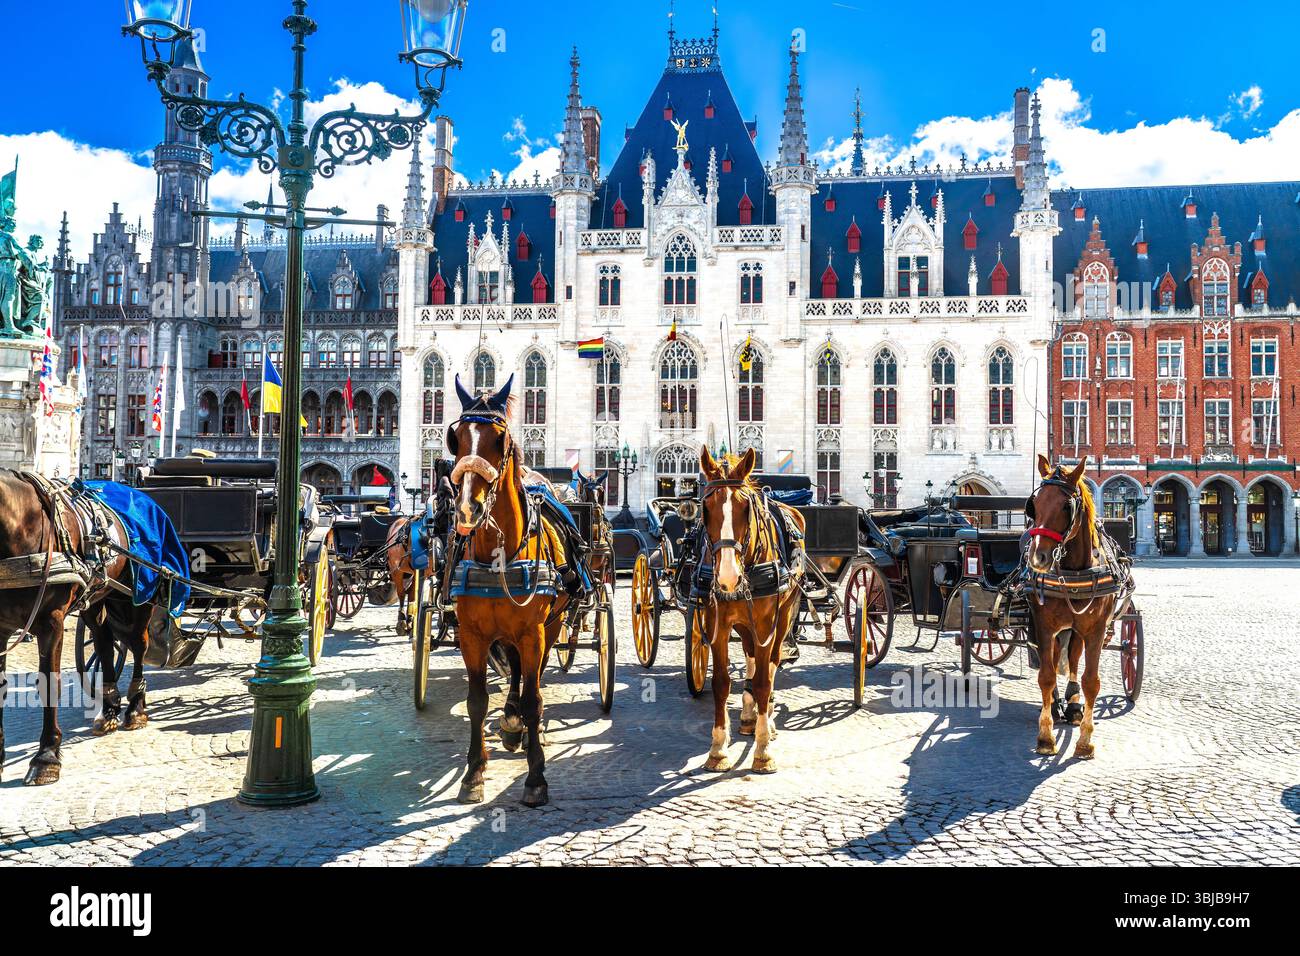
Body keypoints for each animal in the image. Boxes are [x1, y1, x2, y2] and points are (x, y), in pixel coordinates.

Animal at [0, 472, 152, 785]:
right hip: (98, 596)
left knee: (138, 643)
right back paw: (109, 709)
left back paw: (135, 708)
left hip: (140, 594)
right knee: (104, 641)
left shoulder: (51, 622)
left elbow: (49, 684)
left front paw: (46, 758)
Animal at [445, 374, 573, 807]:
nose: (468, 509)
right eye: (455, 438)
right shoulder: (472, 635)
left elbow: (535, 699)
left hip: (551, 626)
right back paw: (511, 723)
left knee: (532, 676)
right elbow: (477, 702)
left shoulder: (533, 632)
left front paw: (536, 777)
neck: (497, 554)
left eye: (500, 439)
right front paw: (474, 773)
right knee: (514, 669)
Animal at [696, 446, 805, 774]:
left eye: (746, 508)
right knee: (751, 656)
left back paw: (767, 719)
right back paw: (747, 715)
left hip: (783, 616)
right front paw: (718, 750)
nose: (728, 578)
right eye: (706, 508)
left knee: (771, 663)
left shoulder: (767, 622)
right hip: (744, 624)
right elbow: (721, 682)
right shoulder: (716, 623)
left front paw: (763, 750)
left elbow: (764, 680)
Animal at [1023, 455, 1132, 760]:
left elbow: (1091, 681)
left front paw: (1085, 740)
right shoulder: (1044, 626)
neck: (1073, 572)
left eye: (1066, 506)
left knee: (1073, 658)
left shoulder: (1095, 629)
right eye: (1033, 504)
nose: (1038, 558)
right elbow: (1046, 676)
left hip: (1078, 628)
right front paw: (1046, 736)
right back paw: (1056, 706)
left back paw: (1071, 706)